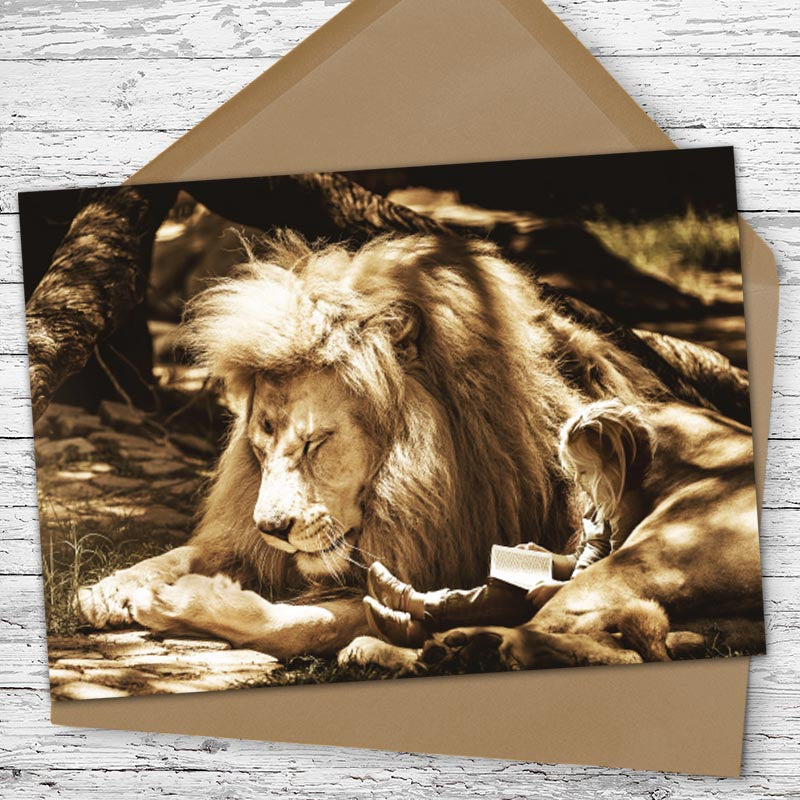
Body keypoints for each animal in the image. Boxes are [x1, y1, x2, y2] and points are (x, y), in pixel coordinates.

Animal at [76, 233, 762, 666]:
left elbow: (300, 624)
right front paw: (110, 588)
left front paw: (184, 600)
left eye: (317, 442)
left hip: (657, 546)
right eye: (261, 444)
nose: (272, 528)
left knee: (544, 632)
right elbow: (188, 552)